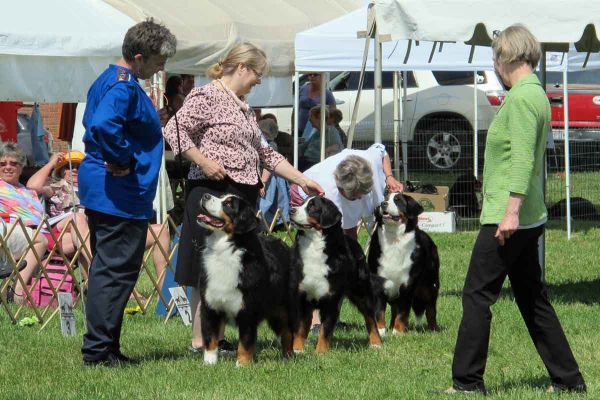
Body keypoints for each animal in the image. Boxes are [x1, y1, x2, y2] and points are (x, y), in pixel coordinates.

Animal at [197, 193, 292, 366]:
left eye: (228, 204)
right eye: (220, 197)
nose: (205, 195)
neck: (226, 251)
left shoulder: (247, 310)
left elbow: (245, 342)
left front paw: (242, 364)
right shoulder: (209, 306)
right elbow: (210, 338)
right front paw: (209, 363)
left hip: (284, 307)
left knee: (289, 331)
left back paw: (290, 355)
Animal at [290, 197, 382, 354]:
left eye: (312, 207)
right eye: (301, 203)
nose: (291, 210)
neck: (314, 248)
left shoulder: (331, 298)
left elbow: (325, 329)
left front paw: (321, 351)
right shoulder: (302, 297)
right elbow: (301, 327)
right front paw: (297, 350)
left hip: (362, 293)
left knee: (370, 318)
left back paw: (376, 342)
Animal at [368, 192, 438, 336]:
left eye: (398, 200)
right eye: (385, 199)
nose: (383, 204)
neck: (393, 239)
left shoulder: (407, 284)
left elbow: (403, 311)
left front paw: (398, 332)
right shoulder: (377, 282)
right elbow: (379, 311)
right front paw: (381, 331)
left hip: (430, 285)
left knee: (431, 309)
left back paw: (433, 330)